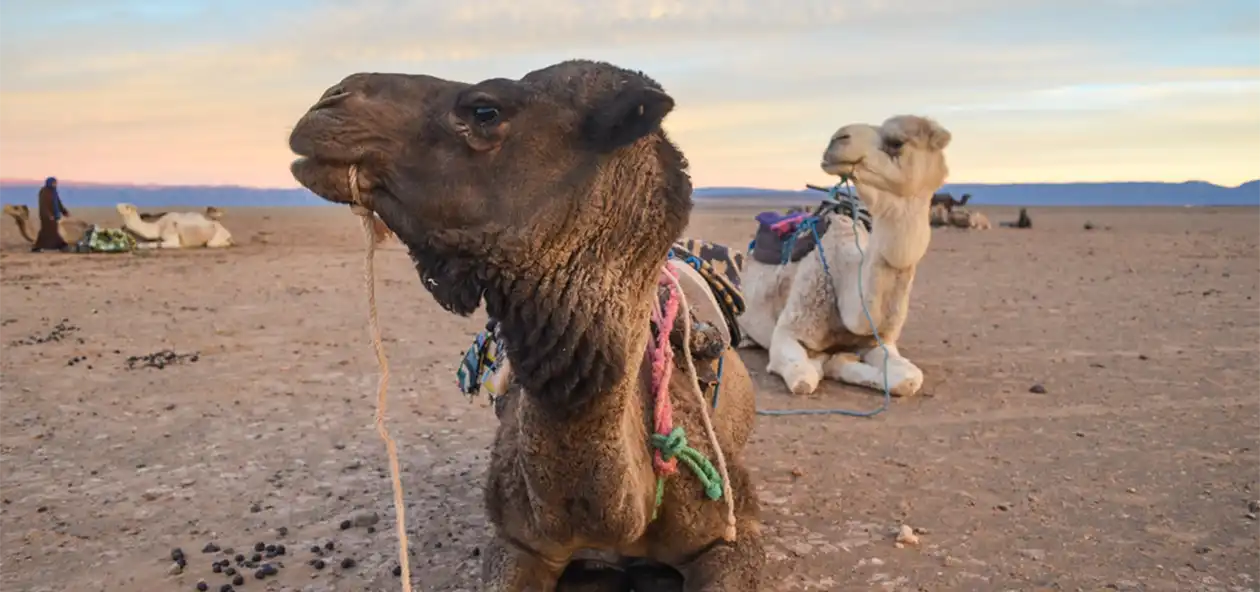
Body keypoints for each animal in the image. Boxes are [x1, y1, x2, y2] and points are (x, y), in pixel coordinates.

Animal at [736, 115, 952, 397]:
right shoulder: (788, 331)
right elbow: (804, 378)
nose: (837, 139)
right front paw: (832, 361)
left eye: (896, 142)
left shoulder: (879, 340)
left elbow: (909, 379)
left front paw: (844, 361)